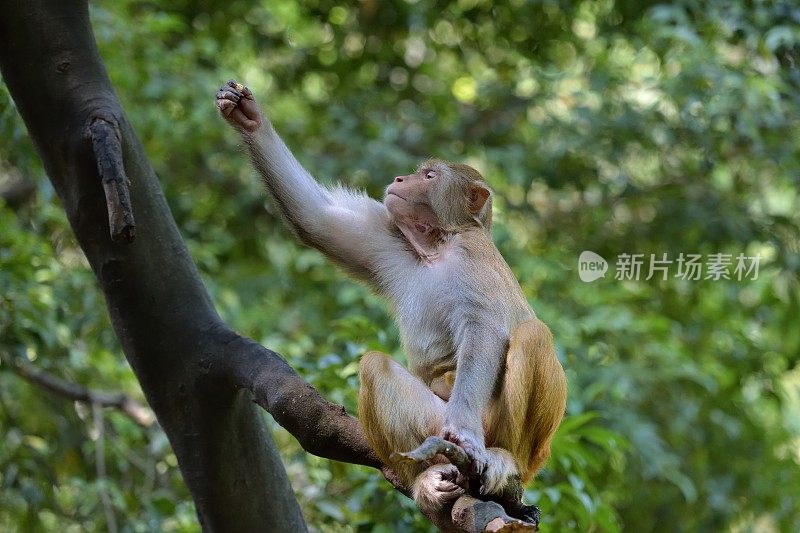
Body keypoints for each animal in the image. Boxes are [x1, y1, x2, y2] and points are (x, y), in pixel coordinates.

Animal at [216, 81, 564, 520]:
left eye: (429, 176)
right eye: (418, 172)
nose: (401, 178)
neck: (436, 247)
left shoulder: (473, 255)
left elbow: (484, 330)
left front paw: (466, 429)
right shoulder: (394, 242)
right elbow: (317, 220)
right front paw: (248, 117)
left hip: (516, 442)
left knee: (533, 336)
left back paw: (504, 461)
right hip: (433, 425)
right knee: (376, 368)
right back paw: (425, 480)